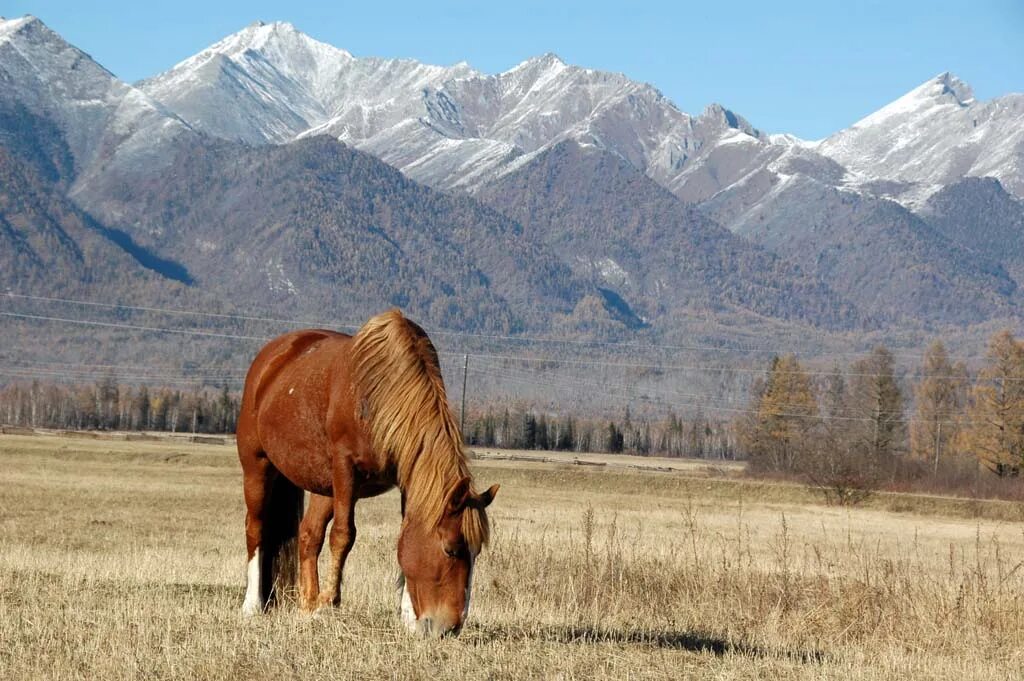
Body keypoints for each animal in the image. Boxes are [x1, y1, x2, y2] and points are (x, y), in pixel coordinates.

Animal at [236, 309, 499, 639]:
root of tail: (270, 359)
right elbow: (343, 535)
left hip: (324, 486)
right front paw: (328, 605)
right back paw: (253, 604)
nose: (449, 628)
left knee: (308, 535)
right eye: (451, 550)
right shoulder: (345, 469)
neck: (379, 392)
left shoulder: (405, 479)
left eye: (476, 554)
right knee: (255, 528)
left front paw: (407, 616)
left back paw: (307, 605)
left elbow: (403, 536)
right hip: (257, 467)